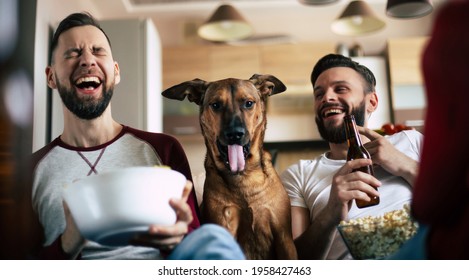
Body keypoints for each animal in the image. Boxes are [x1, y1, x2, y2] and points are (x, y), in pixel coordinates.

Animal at [162, 74, 296, 260]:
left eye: (248, 103)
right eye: (216, 105)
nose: (235, 134)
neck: (243, 177)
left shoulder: (284, 237)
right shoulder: (224, 225)